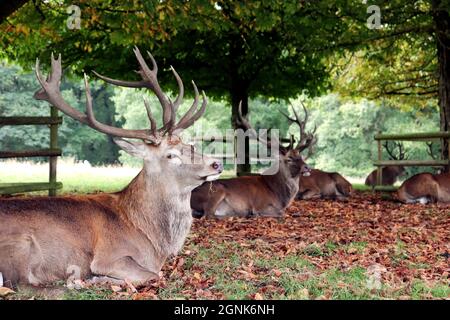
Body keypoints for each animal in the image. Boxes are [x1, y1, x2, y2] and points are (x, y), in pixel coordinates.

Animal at [0, 47, 222, 284]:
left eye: (189, 144)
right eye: (171, 155)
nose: (216, 163)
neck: (152, 240)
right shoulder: (109, 255)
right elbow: (152, 275)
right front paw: (98, 279)